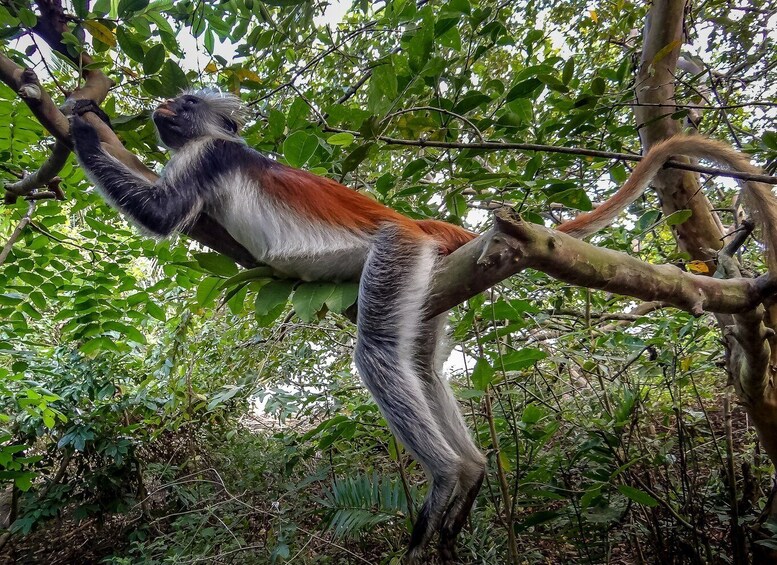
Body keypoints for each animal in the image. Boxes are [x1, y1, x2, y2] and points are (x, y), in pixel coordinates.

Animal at [69, 90, 776, 560]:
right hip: (431, 279)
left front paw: (81, 123)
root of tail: (418, 222)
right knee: (421, 365)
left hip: (399, 251)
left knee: (381, 351)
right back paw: (473, 472)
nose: (161, 108)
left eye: (185, 102)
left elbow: (161, 213)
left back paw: (450, 476)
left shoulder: (207, 155)